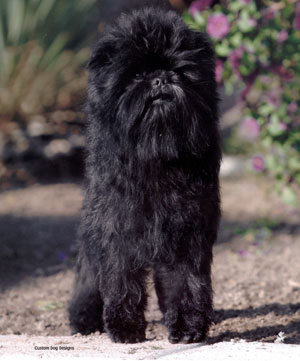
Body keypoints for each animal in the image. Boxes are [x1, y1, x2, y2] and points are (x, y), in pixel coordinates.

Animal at [69, 4, 221, 344]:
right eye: (137, 74)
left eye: (179, 71)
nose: (161, 80)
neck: (157, 153)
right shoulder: (118, 231)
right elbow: (121, 280)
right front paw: (125, 328)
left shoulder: (186, 232)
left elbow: (185, 281)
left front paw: (188, 327)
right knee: (88, 275)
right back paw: (83, 319)